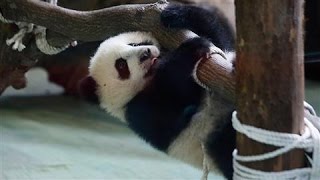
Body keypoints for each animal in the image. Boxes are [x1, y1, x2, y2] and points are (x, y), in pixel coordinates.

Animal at [84, 3, 236, 180]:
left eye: (133, 44)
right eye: (121, 66)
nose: (145, 54)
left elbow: (220, 41)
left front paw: (175, 13)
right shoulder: (138, 112)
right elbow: (171, 111)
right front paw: (191, 49)